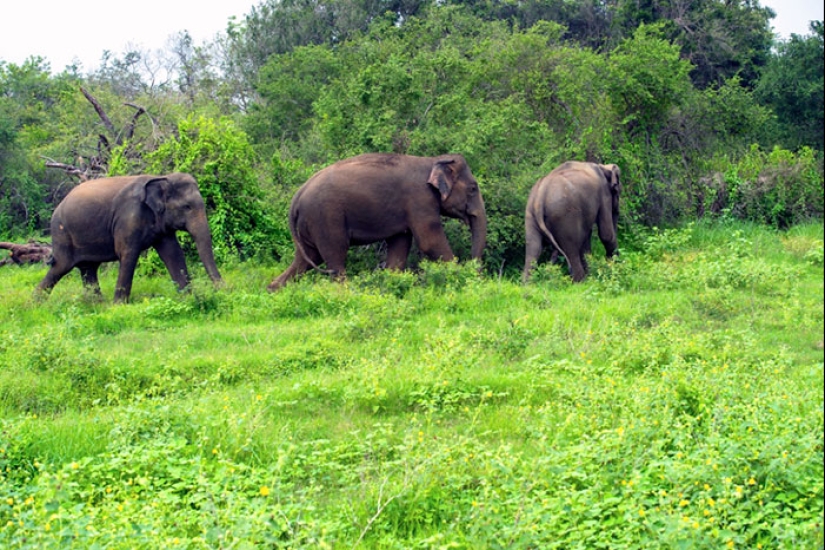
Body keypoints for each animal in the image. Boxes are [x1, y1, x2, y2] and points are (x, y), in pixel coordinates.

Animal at [36, 172, 222, 304]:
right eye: (187, 207)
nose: (223, 290)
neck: (162, 177)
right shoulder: (128, 217)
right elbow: (127, 254)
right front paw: (119, 306)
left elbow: (173, 253)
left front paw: (189, 298)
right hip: (62, 233)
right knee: (61, 266)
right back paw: (35, 305)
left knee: (88, 269)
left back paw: (96, 304)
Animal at [268, 153, 486, 292]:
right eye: (473, 189)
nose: (476, 272)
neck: (432, 160)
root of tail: (297, 196)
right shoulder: (420, 200)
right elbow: (429, 242)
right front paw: (462, 279)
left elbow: (400, 245)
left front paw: (391, 284)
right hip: (325, 218)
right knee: (334, 255)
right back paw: (345, 294)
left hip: (309, 224)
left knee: (306, 258)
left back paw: (273, 290)